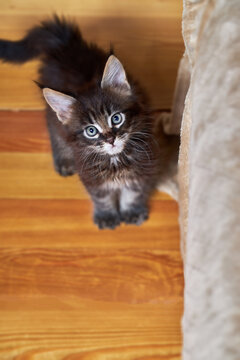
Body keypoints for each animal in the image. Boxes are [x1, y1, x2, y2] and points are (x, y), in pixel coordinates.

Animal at [0, 16, 179, 228]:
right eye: (91, 131)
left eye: (116, 118)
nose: (110, 139)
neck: (115, 160)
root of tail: (65, 46)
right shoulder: (91, 177)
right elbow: (102, 198)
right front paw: (107, 216)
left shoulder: (142, 168)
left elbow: (133, 194)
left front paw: (132, 212)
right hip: (53, 118)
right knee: (53, 129)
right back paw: (63, 160)